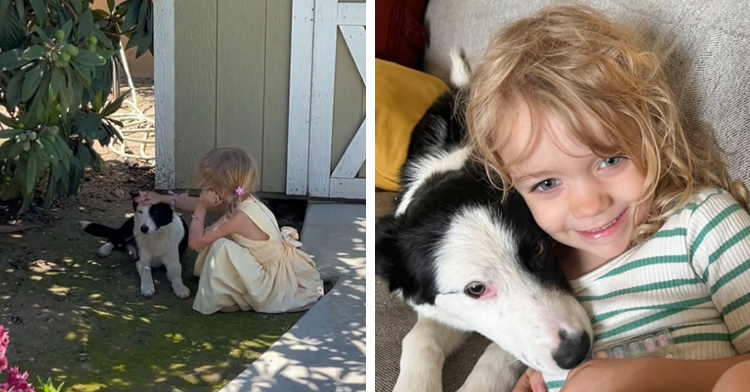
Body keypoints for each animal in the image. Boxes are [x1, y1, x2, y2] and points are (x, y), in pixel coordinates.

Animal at [376, 52, 592, 392]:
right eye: (475, 289)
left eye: (539, 249)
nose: (577, 351)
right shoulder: (439, 307)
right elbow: (420, 336)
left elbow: (499, 354)